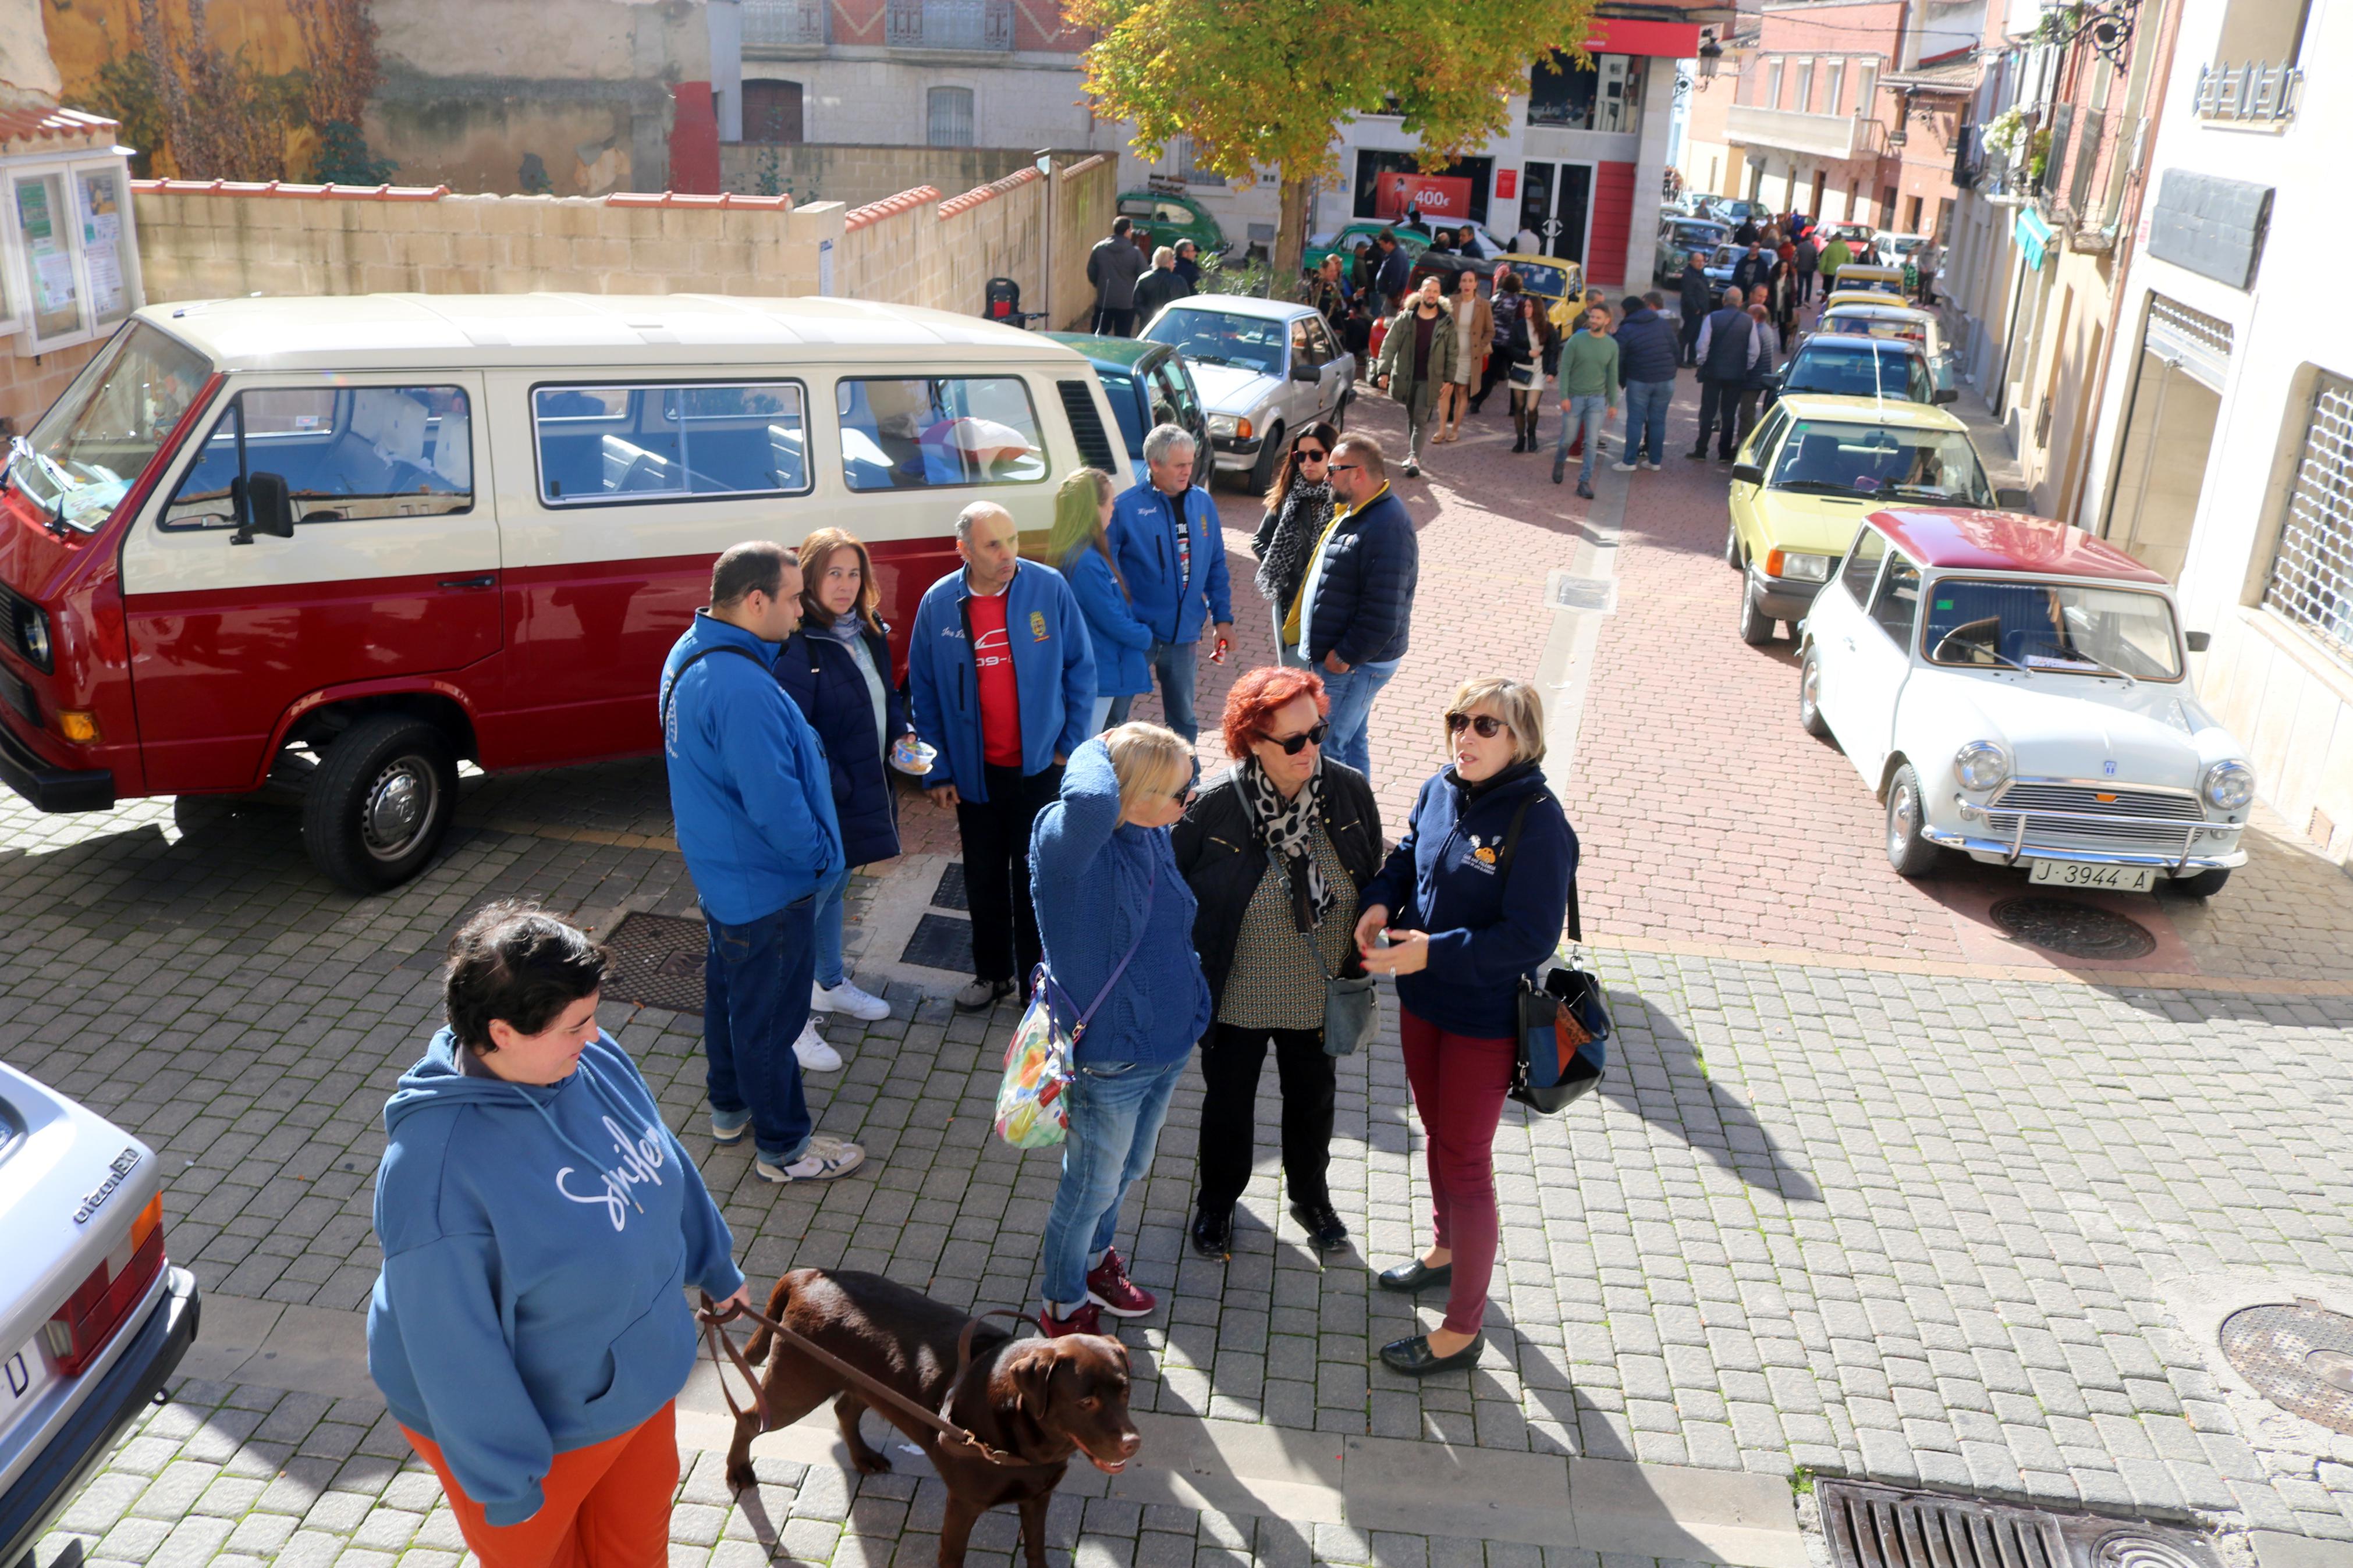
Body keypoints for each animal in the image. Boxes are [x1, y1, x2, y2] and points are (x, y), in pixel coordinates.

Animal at [729, 1269, 1143, 1560]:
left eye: (1125, 1390)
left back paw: (864, 1457)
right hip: (797, 1386)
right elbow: (953, 1554)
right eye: (1085, 1402)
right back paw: (739, 1472)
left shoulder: (1038, 1497)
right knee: (750, 1419)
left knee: (845, 1407)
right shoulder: (964, 1503)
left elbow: (1036, 1548)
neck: (1029, 1444)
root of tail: (809, 1276)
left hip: (868, 1384)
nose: (1133, 1443)